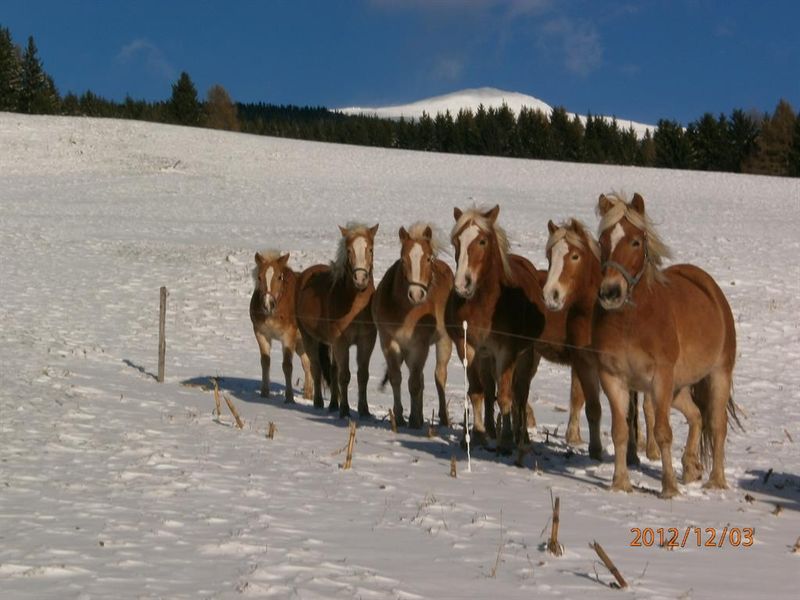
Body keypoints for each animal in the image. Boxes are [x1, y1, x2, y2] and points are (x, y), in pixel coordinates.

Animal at [250, 248, 312, 404]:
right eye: (259, 277)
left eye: (279, 277)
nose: (268, 304)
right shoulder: (261, 334)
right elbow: (265, 362)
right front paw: (264, 393)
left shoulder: (288, 337)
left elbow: (287, 366)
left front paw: (289, 398)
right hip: (302, 344)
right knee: (309, 364)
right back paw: (308, 395)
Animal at [296, 223, 380, 420]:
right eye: (349, 250)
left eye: (370, 249)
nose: (360, 279)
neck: (355, 304)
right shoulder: (341, 342)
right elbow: (345, 376)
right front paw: (345, 411)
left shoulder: (367, 341)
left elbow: (362, 375)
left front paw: (364, 411)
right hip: (309, 338)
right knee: (316, 368)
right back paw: (319, 403)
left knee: (333, 369)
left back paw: (333, 404)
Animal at [372, 223, 454, 428]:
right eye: (403, 259)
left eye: (428, 258)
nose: (416, 294)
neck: (405, 311)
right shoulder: (389, 342)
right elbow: (397, 378)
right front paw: (400, 418)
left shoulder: (419, 346)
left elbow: (415, 384)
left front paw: (415, 422)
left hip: (443, 342)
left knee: (439, 376)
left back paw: (443, 417)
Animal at [444, 204, 544, 452]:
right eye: (456, 241)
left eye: (482, 241)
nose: (462, 284)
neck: (485, 304)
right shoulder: (467, 347)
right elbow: (477, 391)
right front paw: (477, 435)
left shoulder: (507, 352)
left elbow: (506, 396)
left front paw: (506, 439)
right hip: (486, 356)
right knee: (490, 390)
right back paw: (490, 429)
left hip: (525, 356)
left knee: (520, 395)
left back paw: (521, 438)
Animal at [592, 192, 736, 496]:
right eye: (602, 241)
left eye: (636, 241)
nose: (610, 293)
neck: (632, 322)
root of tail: (709, 286)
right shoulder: (612, 378)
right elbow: (620, 431)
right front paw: (620, 483)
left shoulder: (660, 379)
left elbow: (662, 432)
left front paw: (669, 487)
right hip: (678, 388)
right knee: (696, 416)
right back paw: (691, 467)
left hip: (718, 375)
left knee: (717, 425)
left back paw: (716, 481)